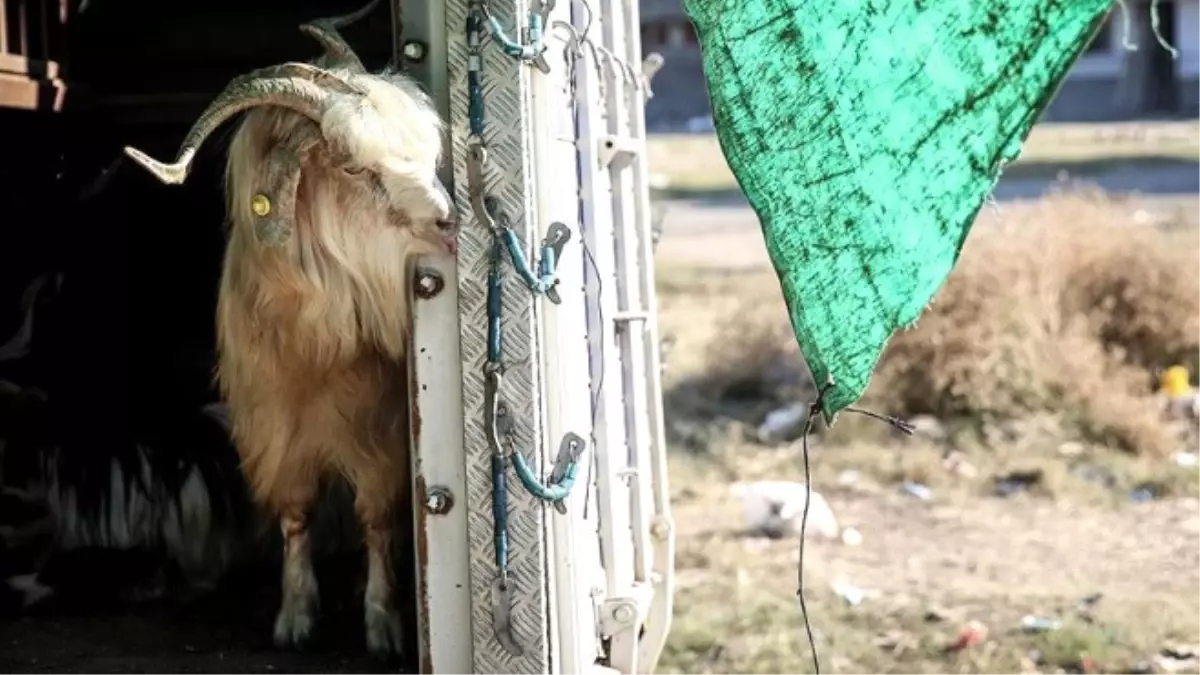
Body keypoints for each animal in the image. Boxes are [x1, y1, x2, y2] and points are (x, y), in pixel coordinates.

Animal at [121, 0, 456, 653]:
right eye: (351, 165)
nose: (449, 220)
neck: (316, 353)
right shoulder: (273, 426)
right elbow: (296, 514)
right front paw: (295, 615)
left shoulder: (379, 433)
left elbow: (376, 518)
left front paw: (382, 622)